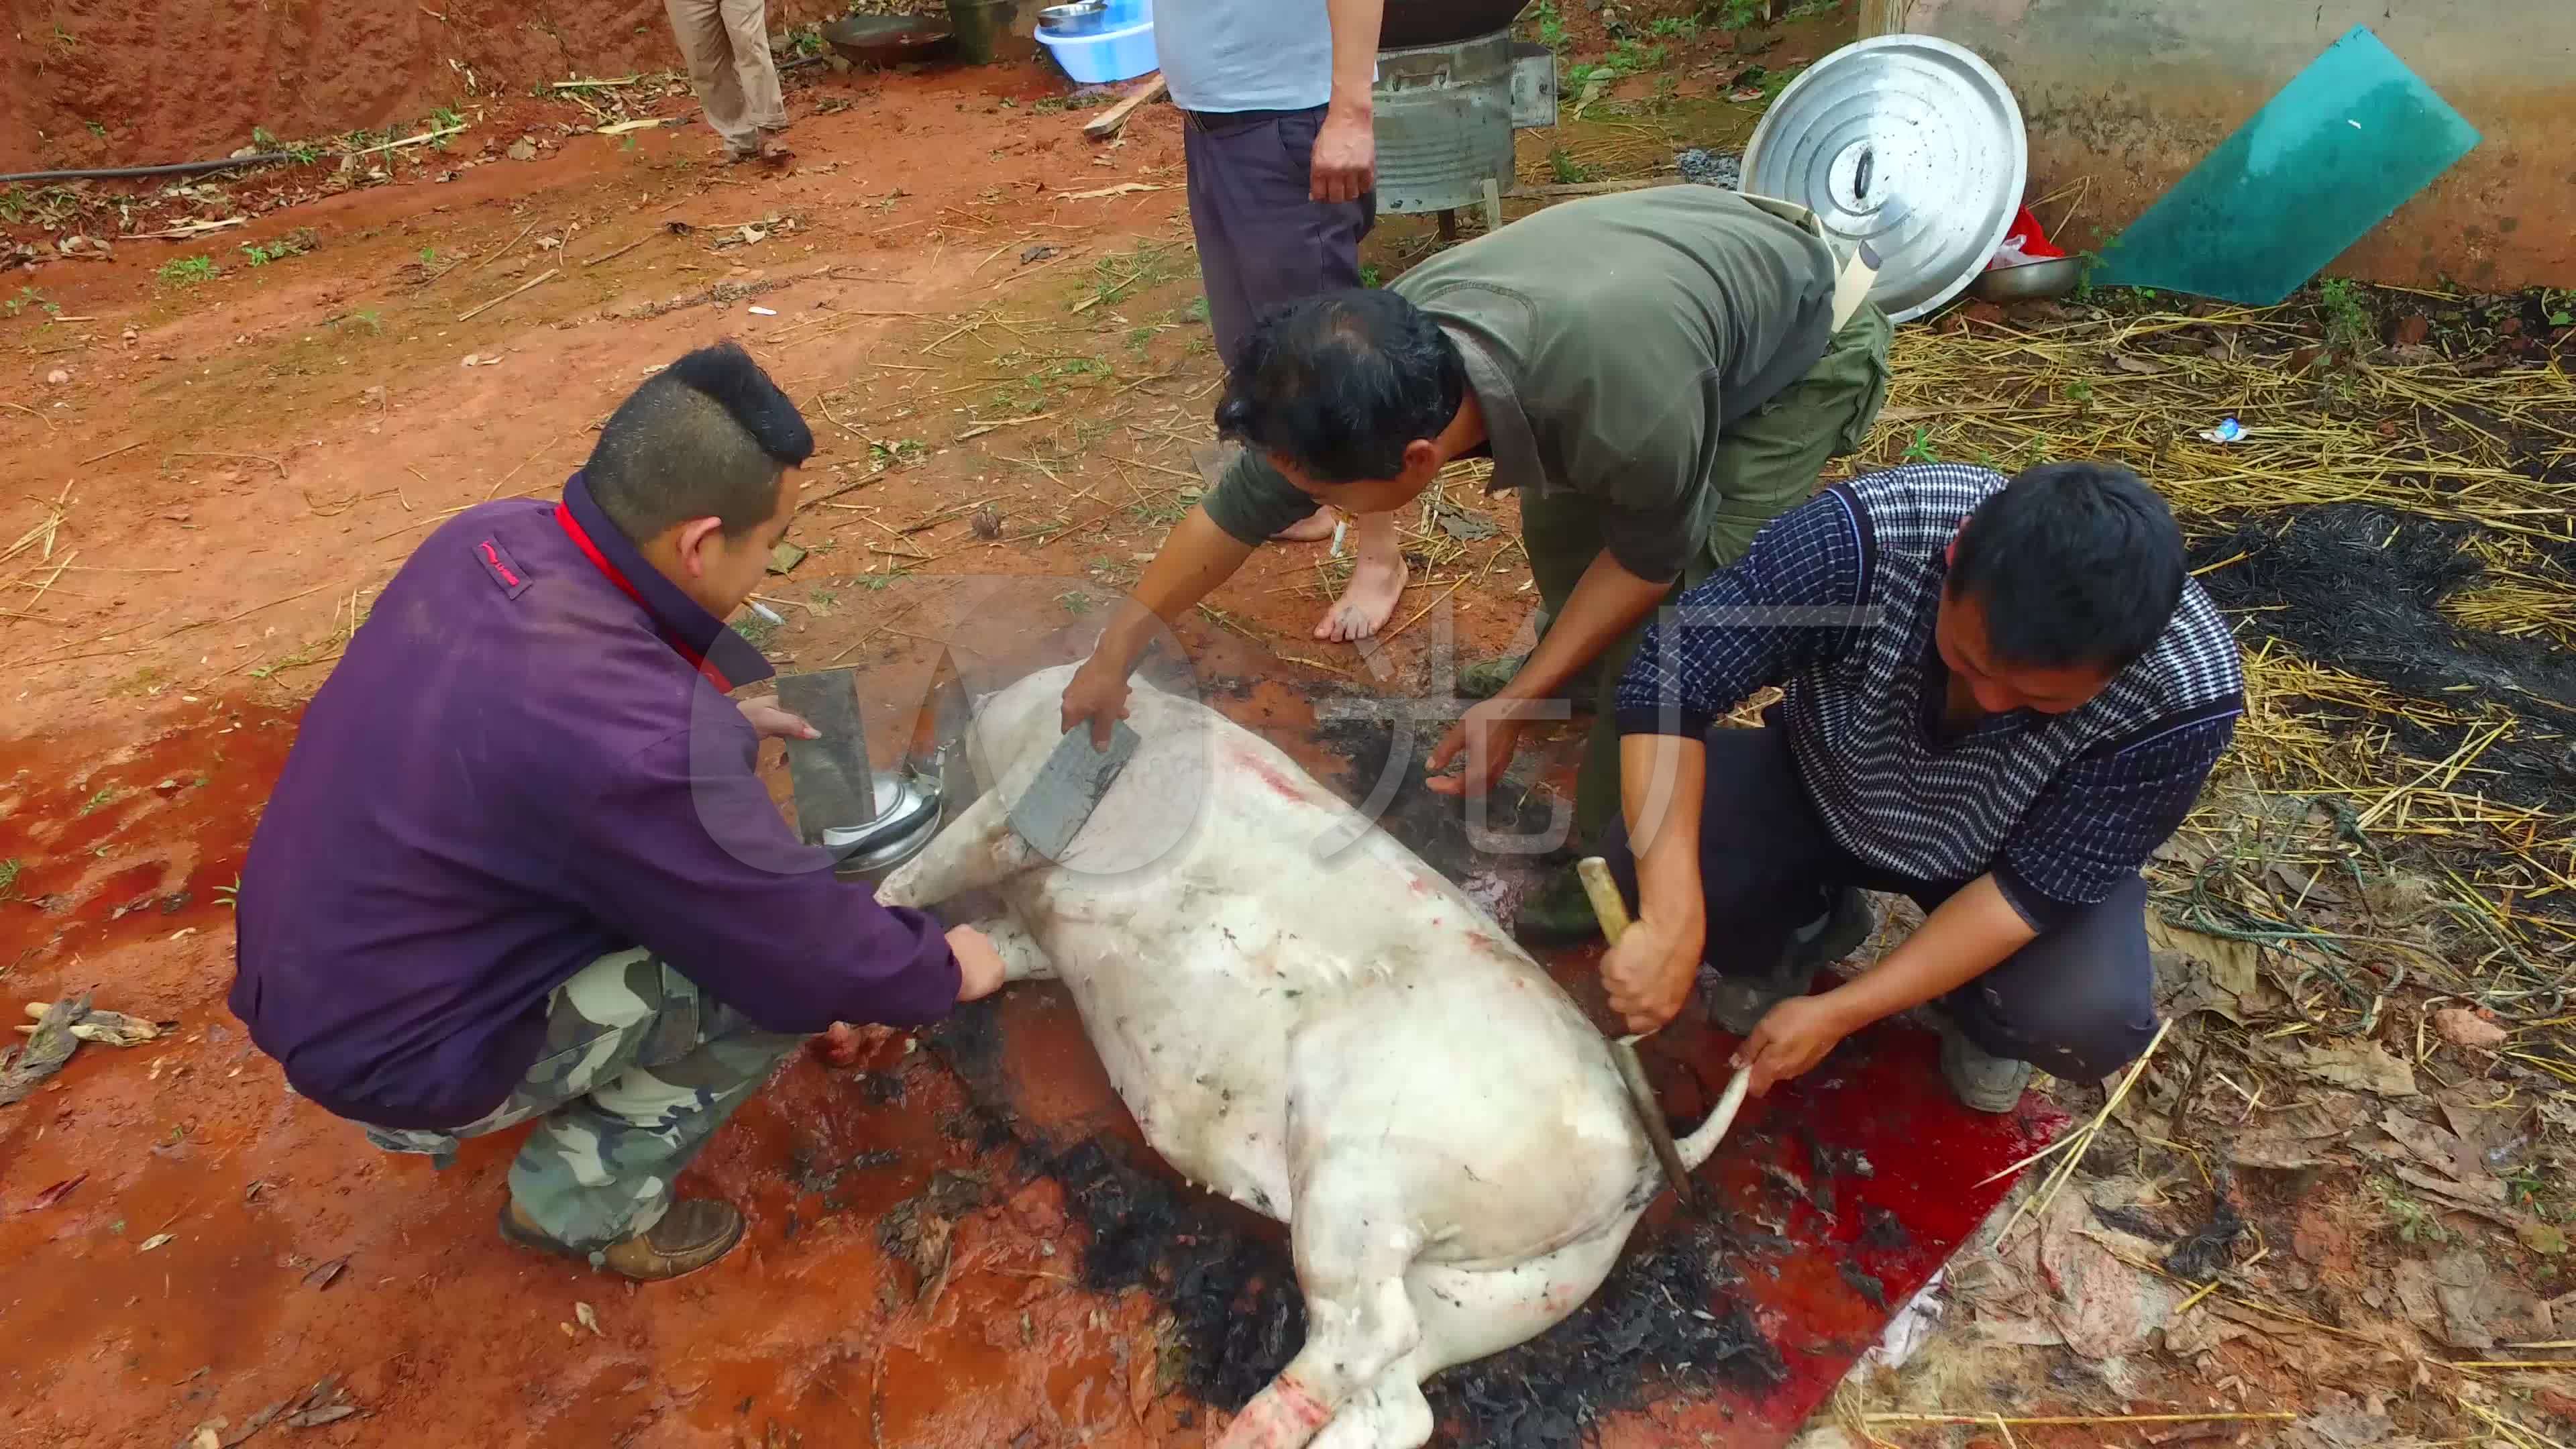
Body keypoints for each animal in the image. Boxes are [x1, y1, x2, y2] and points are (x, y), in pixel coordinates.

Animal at [881, 665, 1752, 1444]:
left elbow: (924, 873)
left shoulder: (1012, 814)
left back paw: (1241, 1436)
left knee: (1368, 1333)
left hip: (1364, 1164)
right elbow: (989, 946)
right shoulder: (1032, 930)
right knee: (1402, 1400)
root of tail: (1644, 1153)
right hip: (1511, 1287)